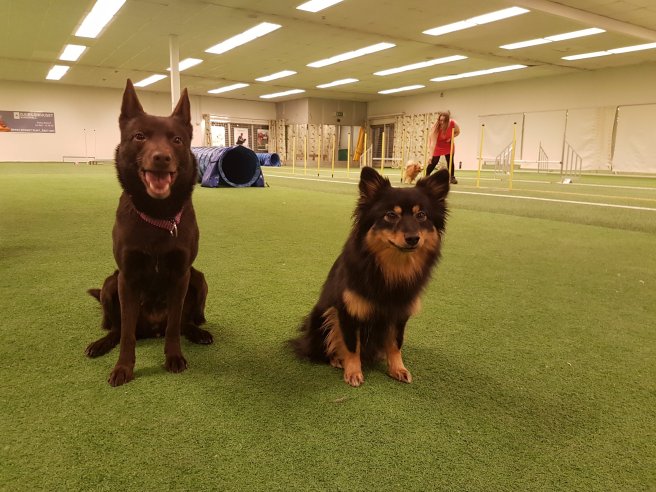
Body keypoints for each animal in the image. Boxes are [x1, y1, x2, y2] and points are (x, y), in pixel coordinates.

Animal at [85, 79, 212, 386]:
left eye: (176, 140)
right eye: (139, 136)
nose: (161, 158)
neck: (157, 215)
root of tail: (152, 328)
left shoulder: (181, 274)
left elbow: (174, 325)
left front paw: (174, 356)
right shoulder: (127, 277)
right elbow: (127, 335)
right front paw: (123, 367)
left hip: (199, 279)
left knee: (185, 322)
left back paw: (198, 332)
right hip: (111, 283)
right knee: (118, 329)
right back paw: (101, 343)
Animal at [291, 166, 450, 386]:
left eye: (421, 215)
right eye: (391, 215)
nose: (413, 238)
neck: (391, 270)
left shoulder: (400, 313)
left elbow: (396, 344)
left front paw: (398, 369)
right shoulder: (347, 311)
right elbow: (351, 346)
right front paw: (353, 372)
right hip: (321, 316)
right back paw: (335, 359)